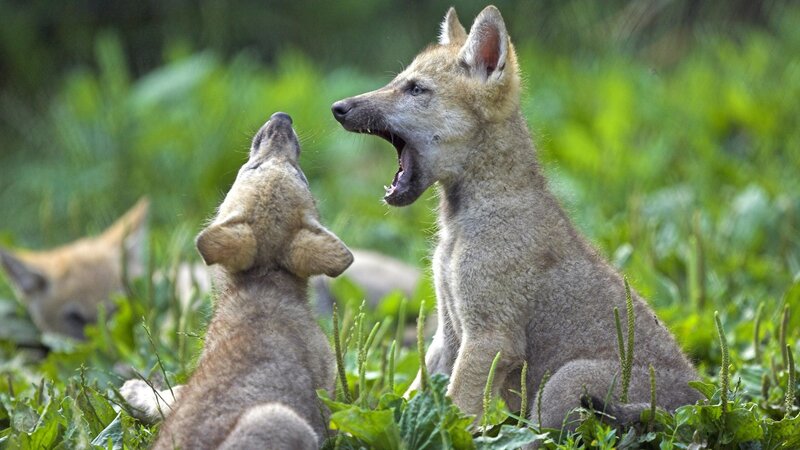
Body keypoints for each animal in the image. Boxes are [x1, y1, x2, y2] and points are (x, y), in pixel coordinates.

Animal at [122, 112, 352, 449]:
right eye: (252, 168)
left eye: (299, 175)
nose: (282, 118)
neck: (265, 280)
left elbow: (172, 394)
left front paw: (134, 392)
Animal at [331, 5, 700, 430]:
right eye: (397, 81)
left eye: (416, 89)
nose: (338, 108)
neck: (460, 226)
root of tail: (700, 405)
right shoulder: (448, 335)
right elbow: (414, 397)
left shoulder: (490, 337)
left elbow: (455, 410)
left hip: (562, 384)